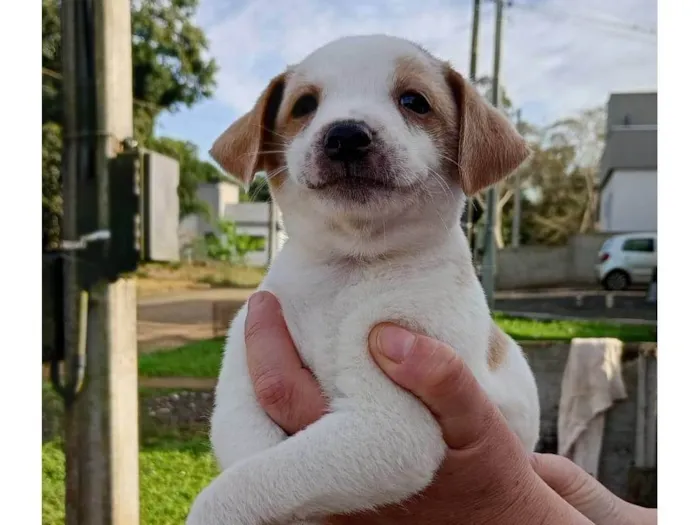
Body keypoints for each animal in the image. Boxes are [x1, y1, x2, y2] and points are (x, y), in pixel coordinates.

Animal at [186, 34, 540, 520]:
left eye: (414, 101)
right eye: (304, 105)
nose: (346, 135)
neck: (349, 270)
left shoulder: (388, 424)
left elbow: (242, 485)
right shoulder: (242, 395)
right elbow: (252, 457)